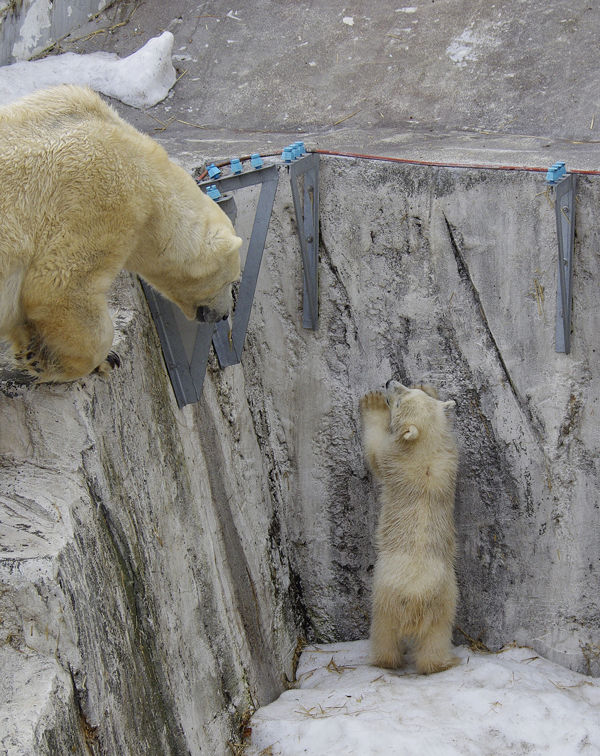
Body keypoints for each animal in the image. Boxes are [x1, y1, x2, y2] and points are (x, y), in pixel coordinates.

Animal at [0, 85, 241, 384]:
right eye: (231, 280)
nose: (222, 316)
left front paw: (31, 349)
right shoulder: (100, 198)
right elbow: (58, 288)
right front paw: (55, 363)